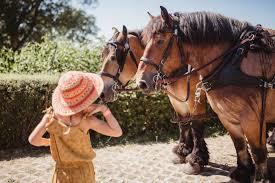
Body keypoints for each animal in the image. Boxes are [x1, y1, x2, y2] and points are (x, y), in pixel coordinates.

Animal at [100, 25, 210, 173]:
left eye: (113, 57)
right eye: (102, 56)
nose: (102, 92)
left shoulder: (195, 98)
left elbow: (196, 125)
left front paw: (196, 159)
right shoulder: (178, 101)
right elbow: (183, 123)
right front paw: (183, 152)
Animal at [137, 6, 275, 182]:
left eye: (160, 40)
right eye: (144, 42)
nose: (141, 82)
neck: (230, 61)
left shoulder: (251, 118)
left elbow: (256, 150)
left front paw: (196, 159)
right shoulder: (223, 114)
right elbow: (238, 143)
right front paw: (242, 171)